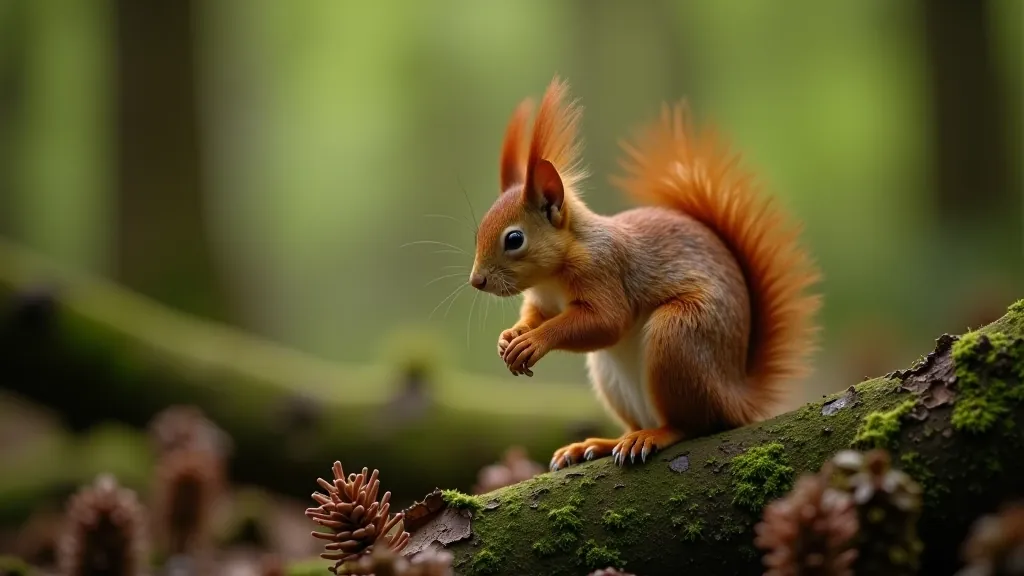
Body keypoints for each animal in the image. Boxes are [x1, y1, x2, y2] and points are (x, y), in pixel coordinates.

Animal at [467, 76, 822, 471]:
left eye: (514, 239)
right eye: (479, 231)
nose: (476, 281)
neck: (552, 276)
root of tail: (736, 396)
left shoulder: (604, 272)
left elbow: (607, 322)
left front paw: (533, 341)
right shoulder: (542, 300)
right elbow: (536, 314)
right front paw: (511, 336)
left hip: (679, 336)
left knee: (693, 424)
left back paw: (654, 436)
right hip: (611, 376)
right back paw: (600, 444)